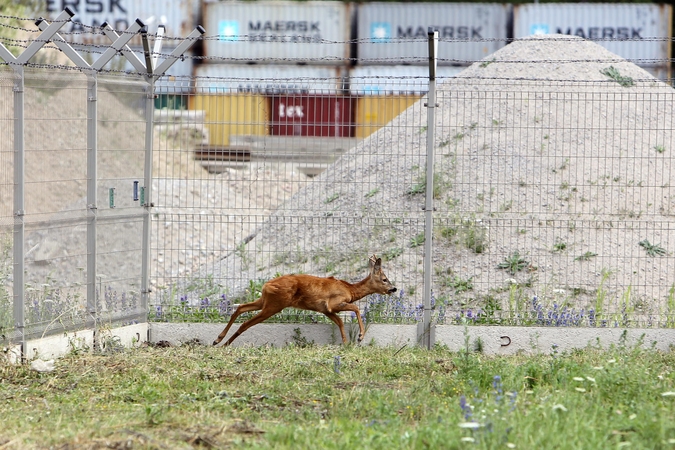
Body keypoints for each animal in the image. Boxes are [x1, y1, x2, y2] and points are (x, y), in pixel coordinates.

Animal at [213, 255, 396, 346]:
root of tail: (267, 284)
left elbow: (339, 322)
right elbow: (356, 309)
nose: (393, 289)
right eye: (385, 279)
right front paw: (359, 337)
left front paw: (345, 343)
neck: (350, 290)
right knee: (246, 323)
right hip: (274, 305)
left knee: (240, 308)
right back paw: (224, 343)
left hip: (265, 300)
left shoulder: (325, 310)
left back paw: (219, 340)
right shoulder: (334, 304)